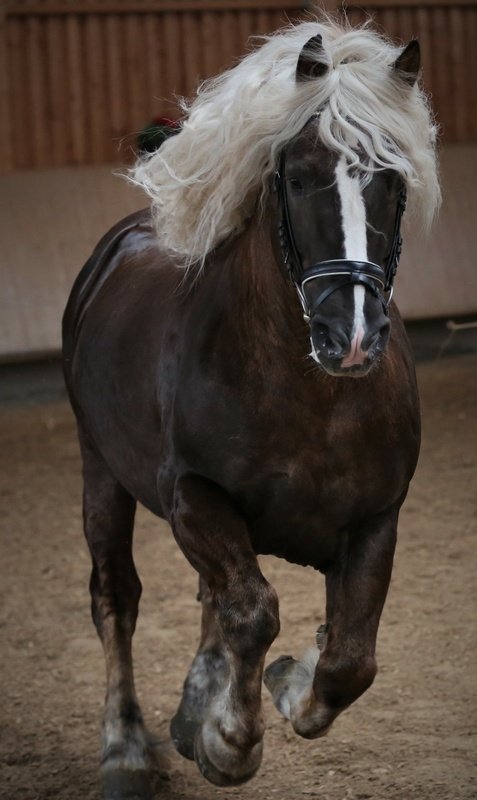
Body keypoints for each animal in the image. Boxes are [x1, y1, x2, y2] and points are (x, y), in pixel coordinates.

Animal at [62, 18, 438, 800]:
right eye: (296, 178)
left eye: (392, 182)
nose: (351, 336)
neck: (313, 399)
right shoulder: (194, 497)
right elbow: (253, 613)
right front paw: (229, 741)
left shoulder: (376, 520)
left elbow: (349, 659)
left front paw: (285, 685)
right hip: (100, 471)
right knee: (117, 597)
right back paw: (128, 750)